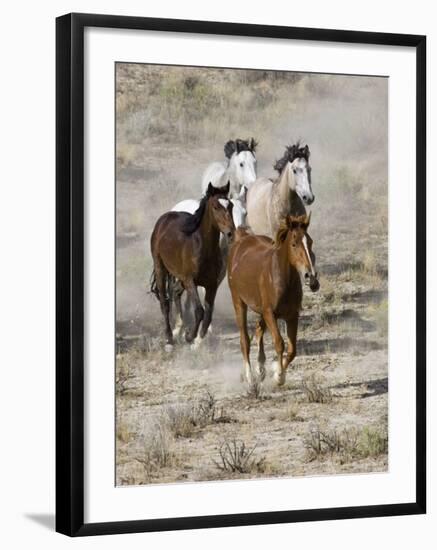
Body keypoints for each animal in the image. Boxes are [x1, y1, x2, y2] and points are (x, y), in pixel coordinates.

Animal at [151, 183, 235, 352]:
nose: (231, 233)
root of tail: (164, 218)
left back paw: (178, 330)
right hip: (160, 268)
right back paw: (169, 339)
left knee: (175, 292)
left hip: (179, 277)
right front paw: (190, 336)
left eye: (231, 205)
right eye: (215, 206)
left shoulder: (212, 285)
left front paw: (198, 341)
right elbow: (199, 310)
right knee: (165, 303)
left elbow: (208, 313)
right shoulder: (190, 281)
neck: (202, 247)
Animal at [228, 215, 316, 388]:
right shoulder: (270, 313)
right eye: (294, 243)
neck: (281, 277)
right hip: (239, 303)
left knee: (258, 330)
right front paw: (279, 377)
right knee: (245, 340)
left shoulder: (292, 315)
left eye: (310, 242)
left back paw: (260, 369)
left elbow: (292, 350)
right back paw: (250, 377)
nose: (311, 276)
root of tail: (242, 239)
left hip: (261, 310)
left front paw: (275, 370)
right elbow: (279, 343)